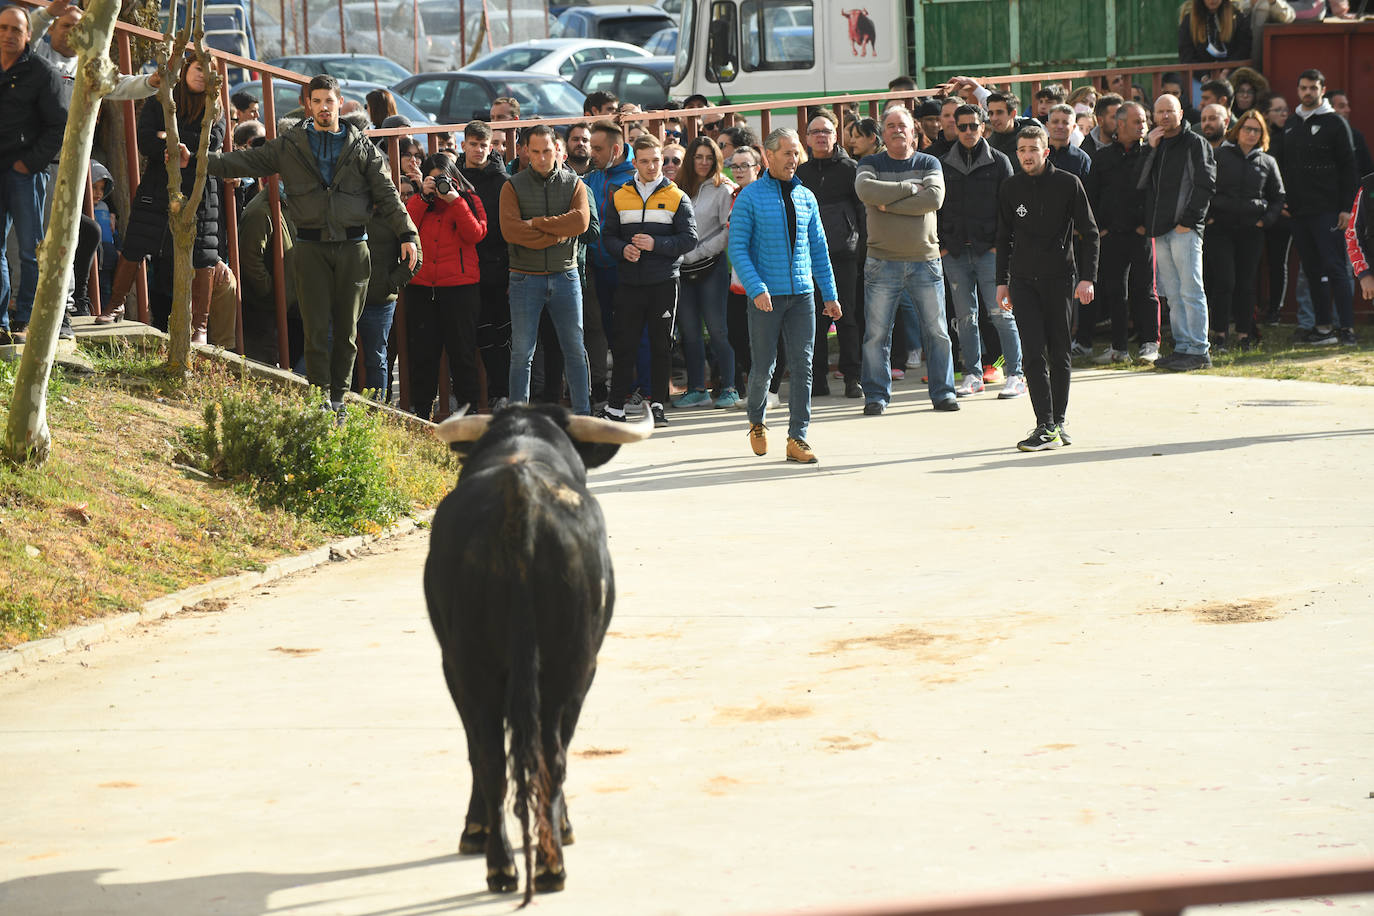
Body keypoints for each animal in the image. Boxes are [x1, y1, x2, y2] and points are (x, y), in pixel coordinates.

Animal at [420, 406, 651, 900]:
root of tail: (519, 501)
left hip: (475, 667)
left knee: (495, 755)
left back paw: (509, 865)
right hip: (565, 667)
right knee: (540, 753)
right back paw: (543, 864)